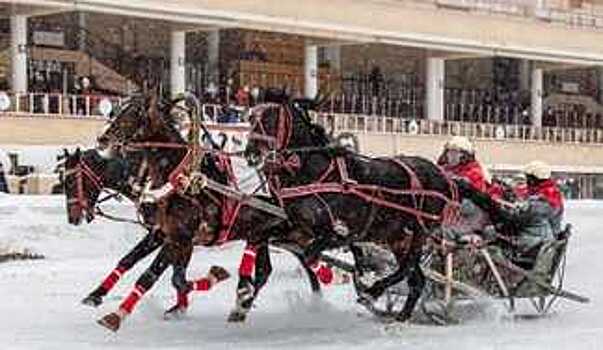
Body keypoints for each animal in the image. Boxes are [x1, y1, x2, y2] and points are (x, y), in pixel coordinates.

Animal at [245, 97, 462, 322]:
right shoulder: (295, 226)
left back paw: (373, 291)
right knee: (417, 279)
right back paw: (401, 313)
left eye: (270, 120)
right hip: (398, 237)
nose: (250, 154)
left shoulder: (337, 233)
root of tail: (445, 177)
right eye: (250, 119)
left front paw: (345, 277)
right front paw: (248, 292)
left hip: (419, 232)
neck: (315, 171)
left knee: (406, 268)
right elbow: (266, 238)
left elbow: (310, 255)